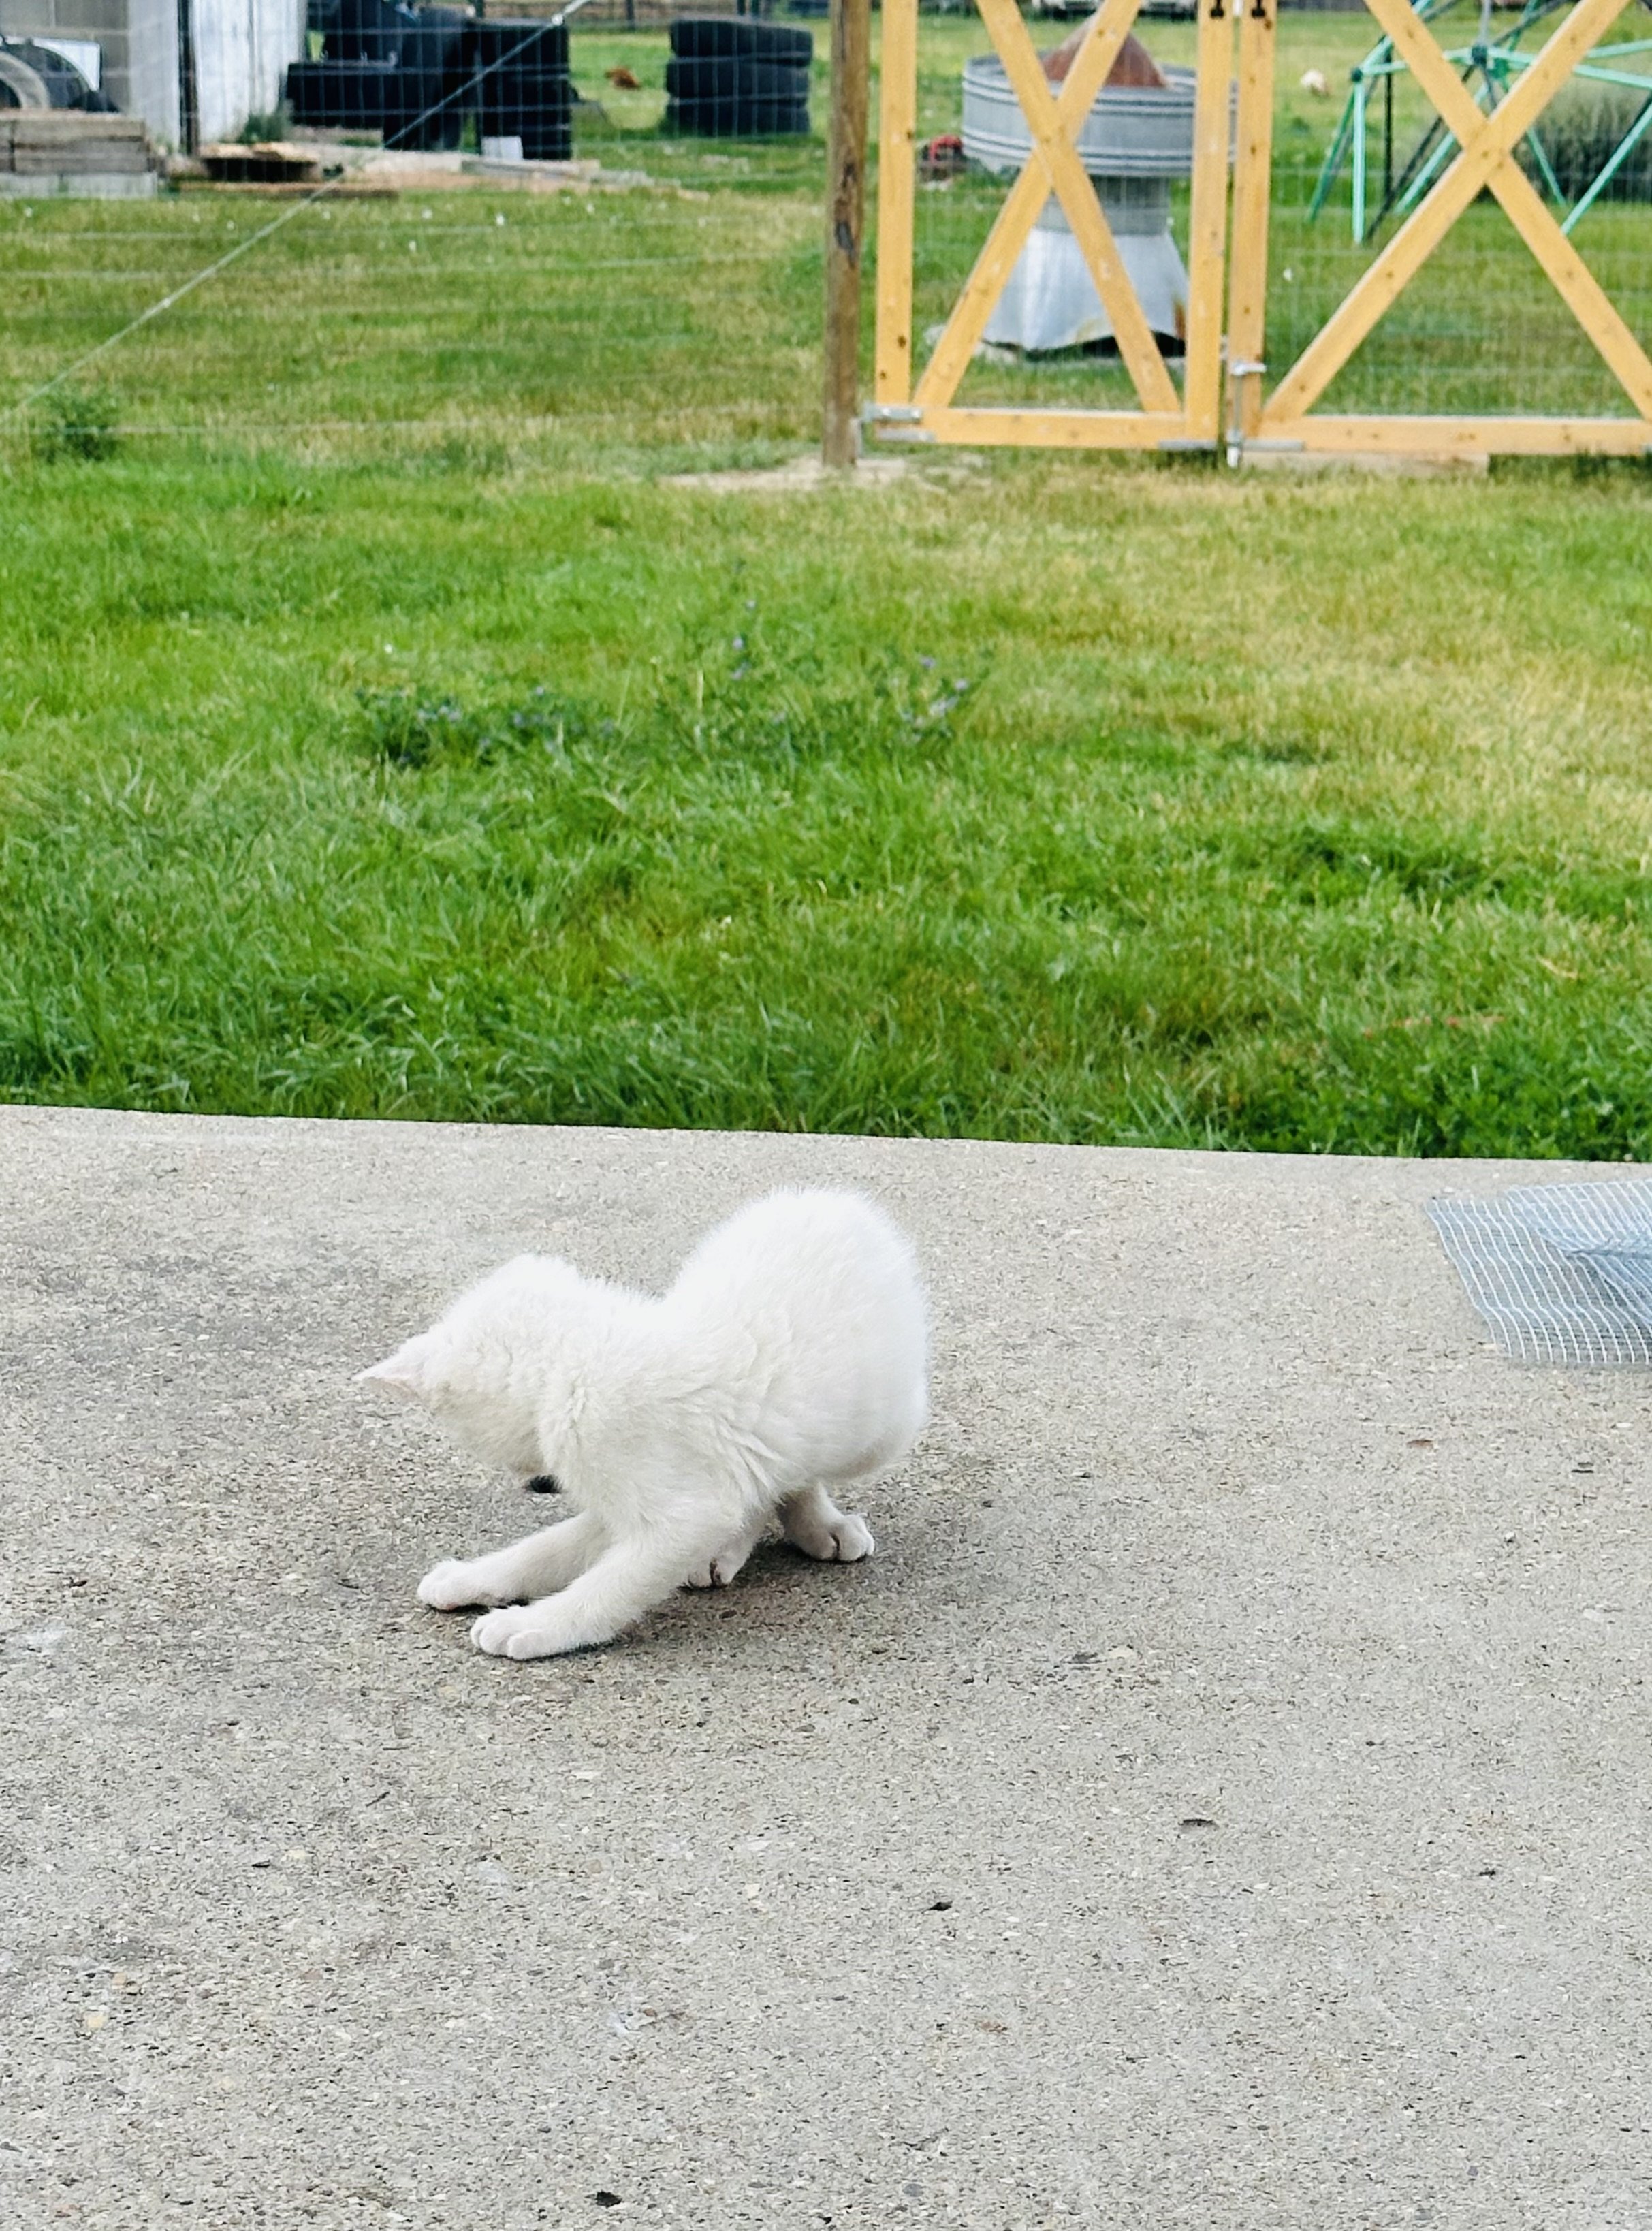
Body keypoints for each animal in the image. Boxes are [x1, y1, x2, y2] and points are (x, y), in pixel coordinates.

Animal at [359, 1188, 928, 1660]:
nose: (536, 1481)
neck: (577, 1359)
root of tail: (842, 1204)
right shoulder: (635, 1500)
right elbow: (546, 1550)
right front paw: (472, 1577)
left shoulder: (673, 1507)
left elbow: (607, 1587)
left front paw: (534, 1625)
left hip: (882, 1430)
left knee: (797, 1470)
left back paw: (818, 1527)